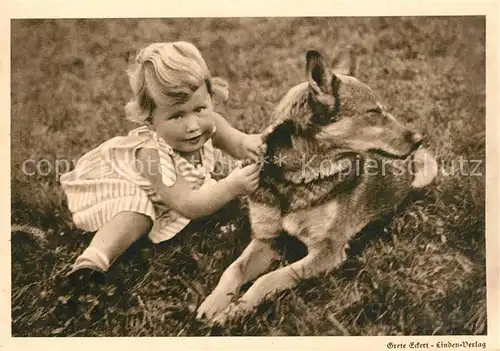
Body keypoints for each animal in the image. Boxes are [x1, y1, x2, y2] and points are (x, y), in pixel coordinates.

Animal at [196, 48, 438, 324]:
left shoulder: (328, 251)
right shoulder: (267, 240)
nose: (419, 139)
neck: (292, 178)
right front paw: (215, 303)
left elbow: (269, 279)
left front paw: (235, 310)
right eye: (373, 112)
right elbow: (234, 270)